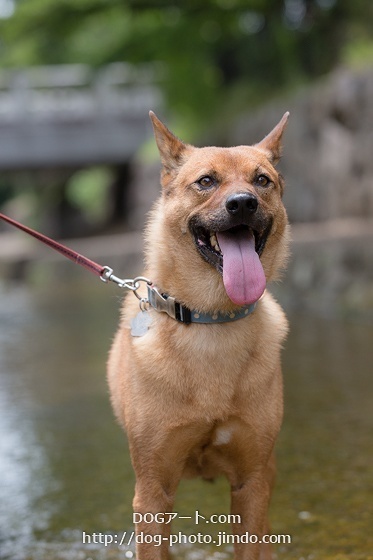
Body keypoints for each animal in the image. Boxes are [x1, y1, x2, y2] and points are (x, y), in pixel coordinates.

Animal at [106, 110, 290, 560]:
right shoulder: (152, 491)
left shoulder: (251, 483)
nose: (243, 203)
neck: (212, 321)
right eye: (206, 181)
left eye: (262, 180)